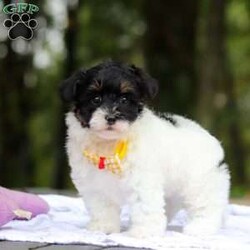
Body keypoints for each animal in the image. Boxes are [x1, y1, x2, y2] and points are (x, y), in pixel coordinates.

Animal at [60, 61, 230, 238]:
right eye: (96, 99)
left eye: (124, 99)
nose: (111, 118)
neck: (110, 145)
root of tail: (211, 139)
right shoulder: (95, 185)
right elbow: (102, 208)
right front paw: (103, 227)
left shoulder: (143, 180)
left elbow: (145, 206)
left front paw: (144, 231)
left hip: (201, 183)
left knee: (206, 205)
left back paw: (201, 227)